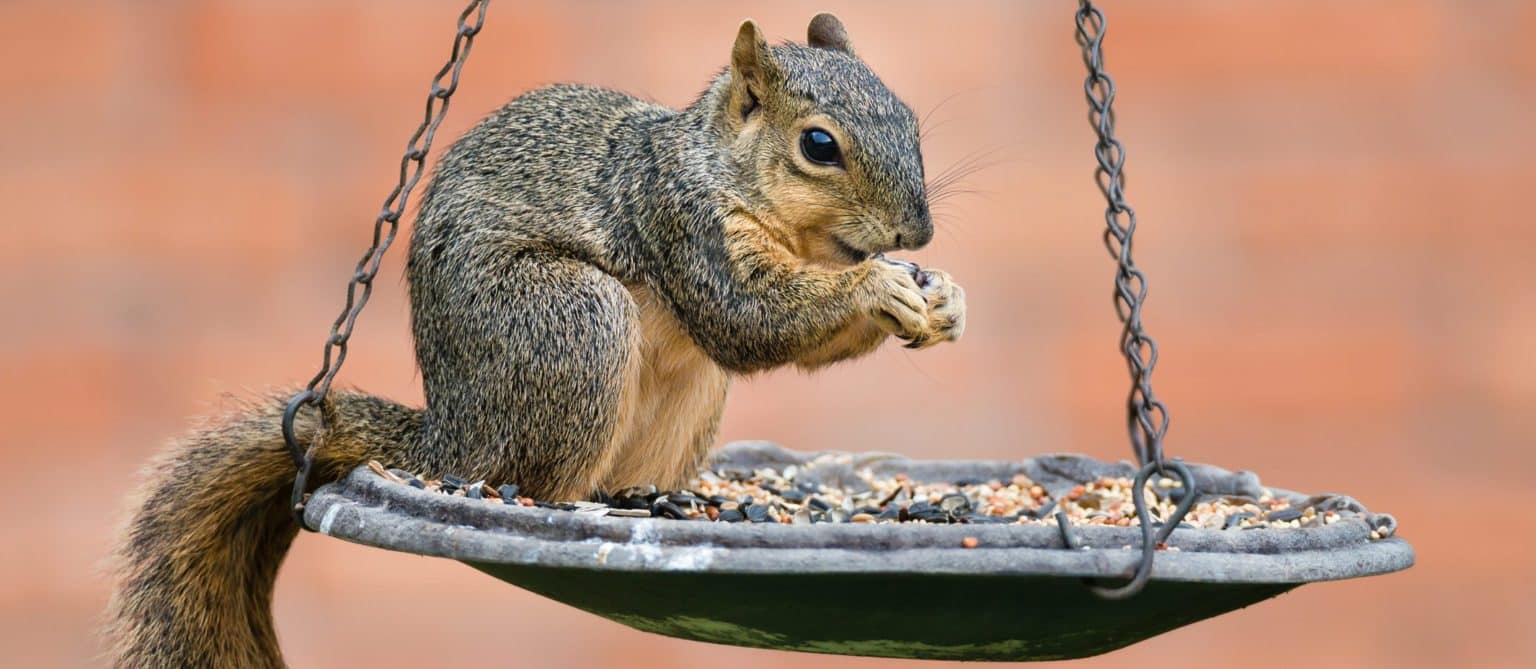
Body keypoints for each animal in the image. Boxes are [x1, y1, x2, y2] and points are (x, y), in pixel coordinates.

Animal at [108, 14, 965, 668]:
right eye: (819, 146)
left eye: (910, 120)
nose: (916, 232)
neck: (721, 169)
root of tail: (450, 438)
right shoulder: (683, 225)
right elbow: (747, 320)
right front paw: (879, 287)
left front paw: (945, 301)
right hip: (572, 321)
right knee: (537, 481)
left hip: (678, 397)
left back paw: (652, 499)